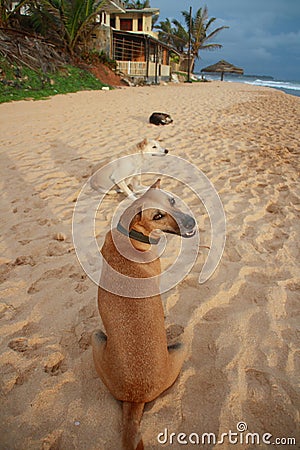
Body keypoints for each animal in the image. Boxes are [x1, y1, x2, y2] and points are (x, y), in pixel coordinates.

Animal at [92, 178, 197, 446]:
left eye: (172, 200)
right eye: (157, 216)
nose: (191, 223)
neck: (131, 233)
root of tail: (134, 398)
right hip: (177, 346)